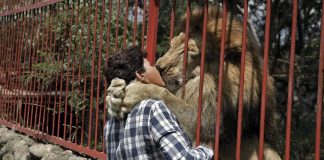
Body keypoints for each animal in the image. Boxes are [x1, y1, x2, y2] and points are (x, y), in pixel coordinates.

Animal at [105, 5, 280, 159]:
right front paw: (114, 95)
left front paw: (133, 91)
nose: (159, 67)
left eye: (190, 51)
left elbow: (165, 94)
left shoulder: (205, 125)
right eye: (173, 44)